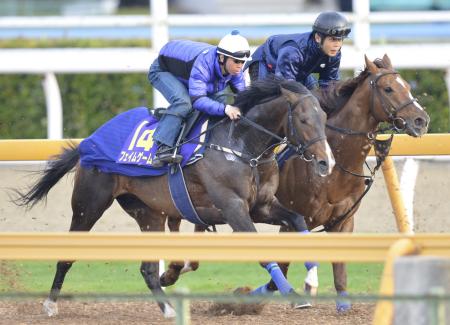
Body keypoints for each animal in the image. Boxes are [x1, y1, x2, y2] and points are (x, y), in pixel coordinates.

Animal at [13, 78, 334, 316]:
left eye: (324, 117)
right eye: (303, 119)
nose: (326, 162)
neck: (240, 144)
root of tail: (88, 142)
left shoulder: (261, 206)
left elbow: (297, 219)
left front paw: (311, 280)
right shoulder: (233, 208)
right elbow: (264, 252)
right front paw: (293, 295)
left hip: (148, 213)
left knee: (148, 269)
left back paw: (168, 309)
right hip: (89, 205)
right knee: (66, 256)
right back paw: (50, 304)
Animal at [157, 55, 428, 312]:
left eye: (406, 85)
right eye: (388, 88)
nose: (421, 120)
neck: (336, 167)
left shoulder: (343, 220)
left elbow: (338, 266)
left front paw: (342, 304)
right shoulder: (292, 219)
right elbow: (281, 267)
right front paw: (251, 297)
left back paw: (175, 268)